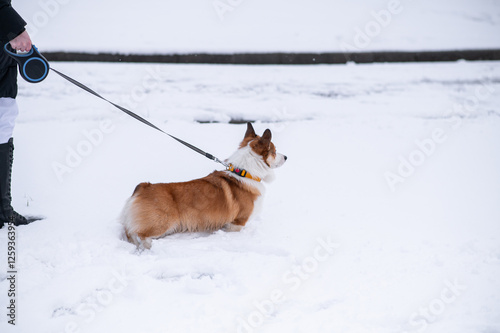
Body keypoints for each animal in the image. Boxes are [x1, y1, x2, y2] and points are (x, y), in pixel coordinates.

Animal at [119, 123, 288, 248]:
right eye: (274, 151)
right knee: (140, 234)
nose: (286, 157)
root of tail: (143, 187)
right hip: (163, 222)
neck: (244, 172)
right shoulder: (237, 222)